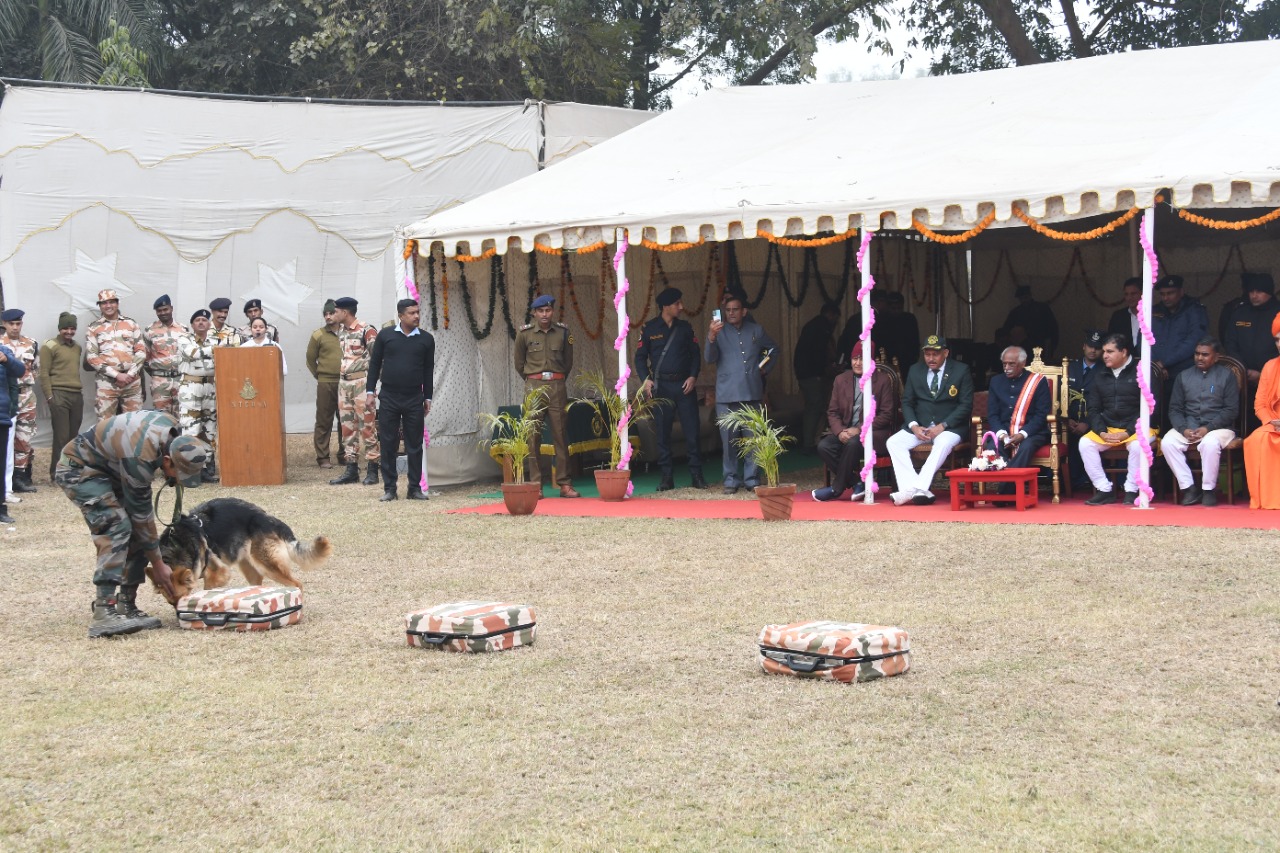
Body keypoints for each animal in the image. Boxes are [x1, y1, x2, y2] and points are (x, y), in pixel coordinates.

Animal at [159, 494, 332, 601]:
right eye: (169, 601)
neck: (177, 543)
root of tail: (268, 519)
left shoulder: (219, 572)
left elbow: (208, 589)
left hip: (267, 565)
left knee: (297, 584)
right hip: (250, 568)